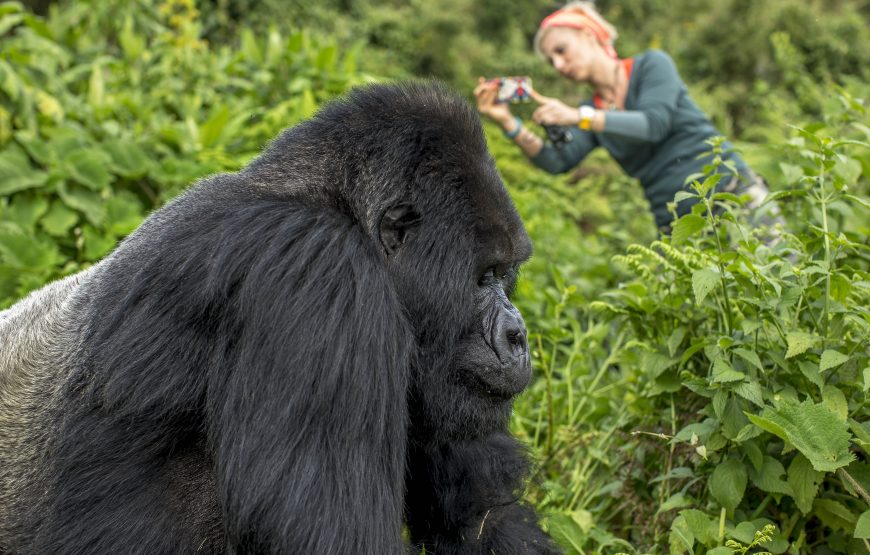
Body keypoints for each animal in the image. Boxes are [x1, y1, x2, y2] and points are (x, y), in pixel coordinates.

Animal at [0, 80, 560, 552]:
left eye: (506, 273)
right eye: (483, 277)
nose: (518, 335)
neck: (321, 197)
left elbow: (481, 514)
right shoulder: (317, 272)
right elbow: (333, 537)